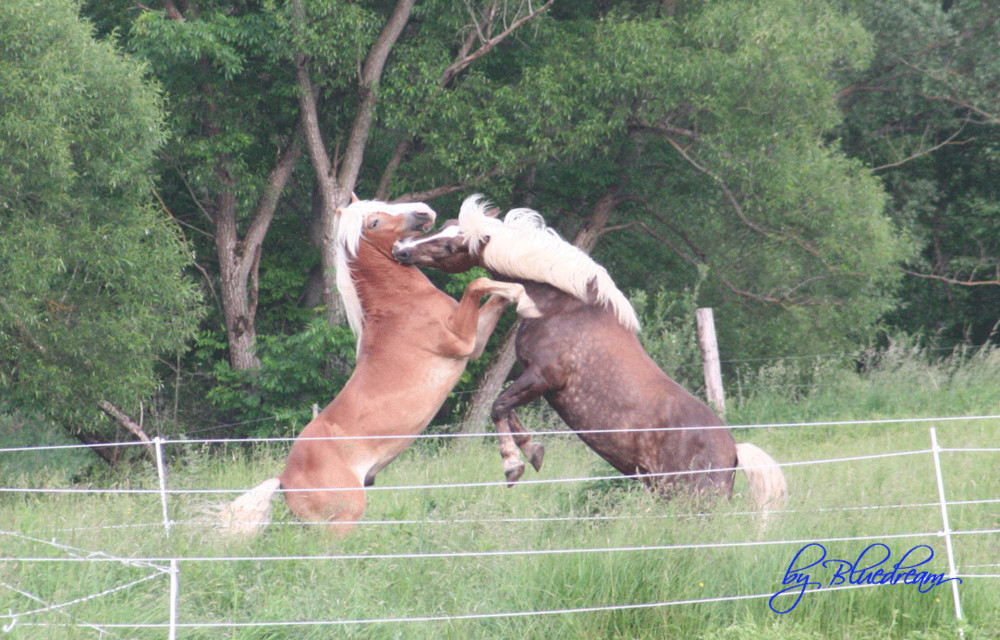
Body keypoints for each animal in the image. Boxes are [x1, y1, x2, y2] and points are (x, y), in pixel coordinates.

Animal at [221, 198, 540, 536]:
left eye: (386, 204)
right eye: (374, 222)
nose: (424, 211)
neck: (401, 305)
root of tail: (283, 481)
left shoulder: (475, 342)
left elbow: (494, 296)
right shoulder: (462, 341)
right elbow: (478, 284)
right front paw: (523, 297)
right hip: (343, 522)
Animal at [392, 196, 788, 516]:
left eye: (449, 244)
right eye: (443, 225)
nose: (400, 249)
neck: (560, 306)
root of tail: (734, 450)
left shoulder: (544, 377)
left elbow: (498, 406)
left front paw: (513, 465)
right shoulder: (534, 380)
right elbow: (507, 409)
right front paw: (533, 451)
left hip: (689, 501)